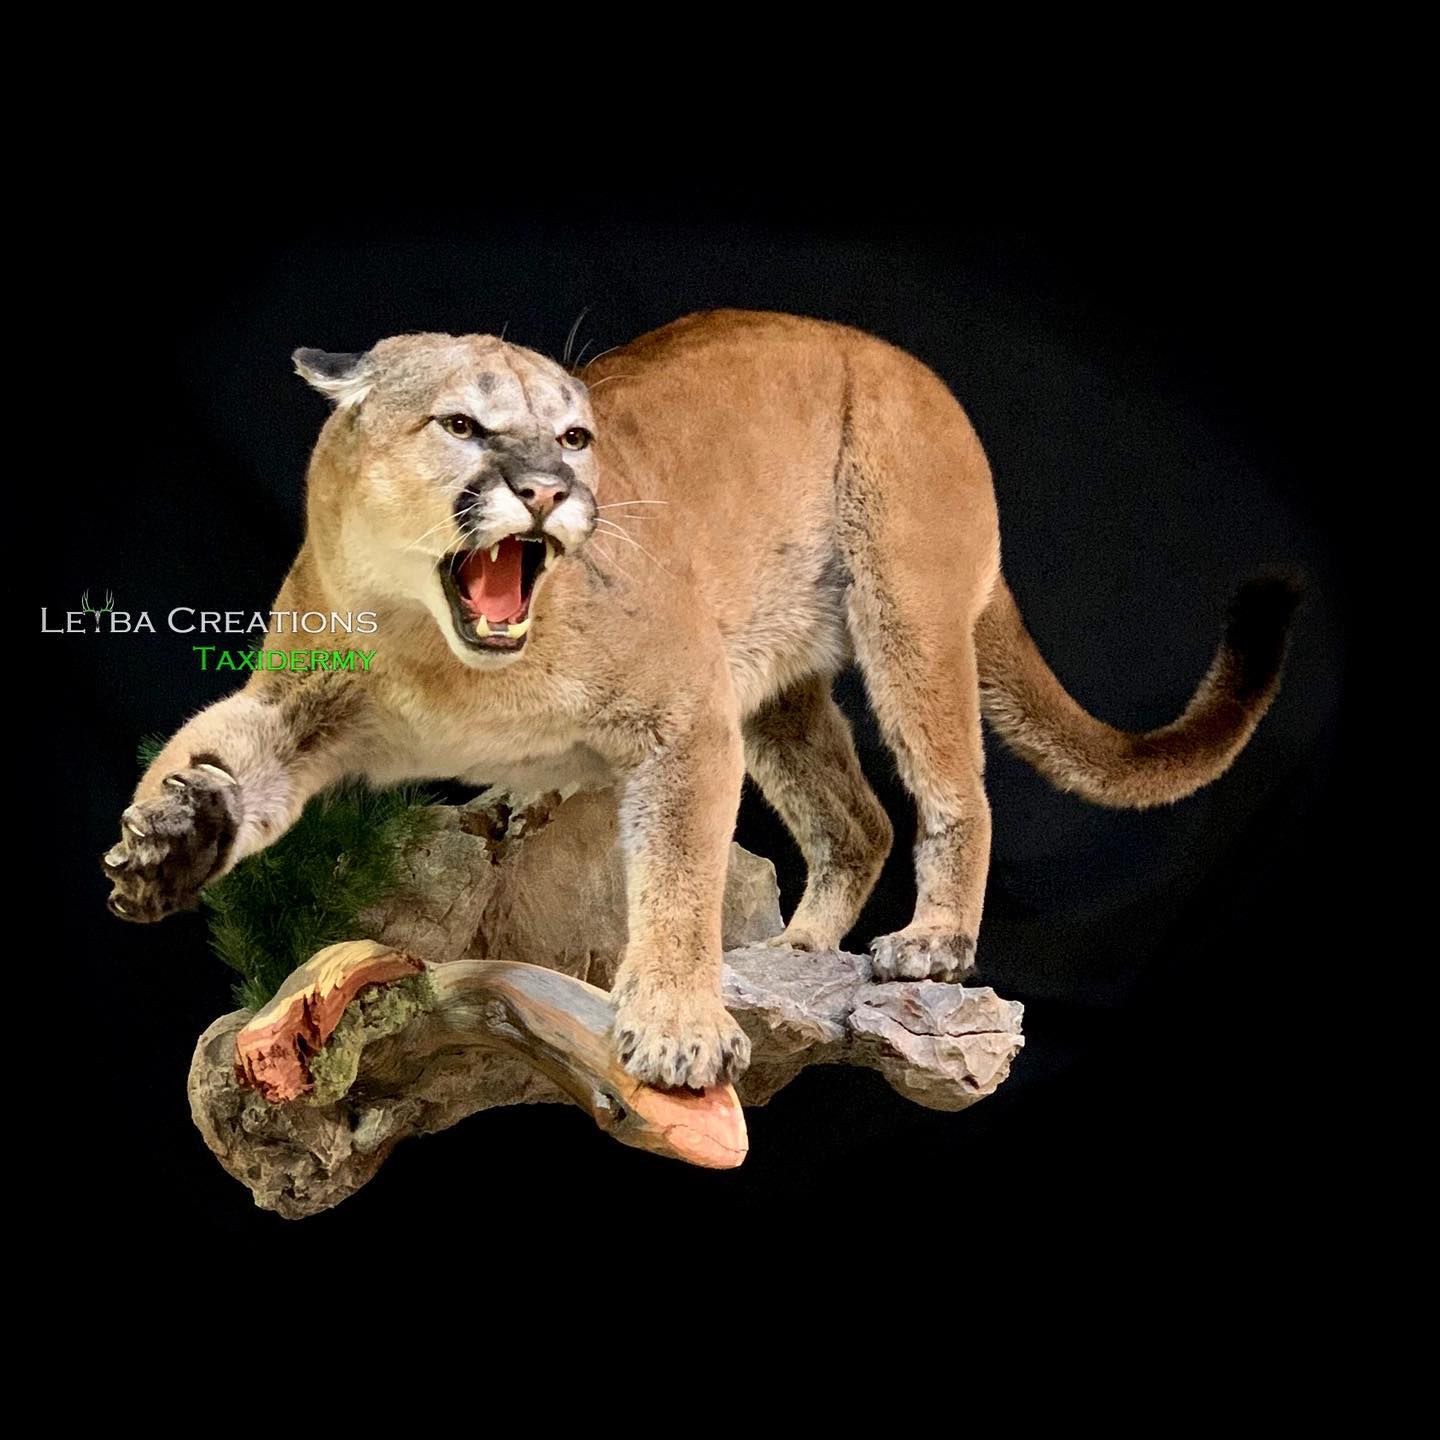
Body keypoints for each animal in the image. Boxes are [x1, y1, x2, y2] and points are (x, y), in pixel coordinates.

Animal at [102, 309, 1299, 1090]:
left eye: (575, 438)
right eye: (464, 427)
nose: (551, 492)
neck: (448, 656)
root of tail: (906, 364)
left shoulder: (685, 719)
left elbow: (677, 877)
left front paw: (678, 1029)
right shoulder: (297, 705)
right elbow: (212, 750)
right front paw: (167, 846)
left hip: (906, 612)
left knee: (954, 793)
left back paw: (931, 945)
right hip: (774, 690)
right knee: (856, 819)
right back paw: (795, 952)